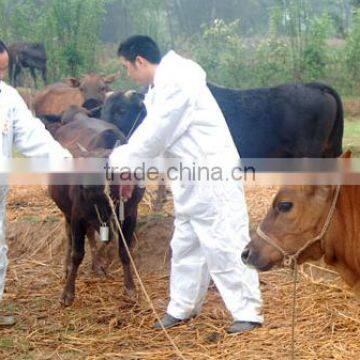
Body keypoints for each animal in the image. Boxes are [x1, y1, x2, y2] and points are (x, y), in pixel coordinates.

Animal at [47, 108, 145, 306]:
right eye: (84, 164)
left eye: (104, 166)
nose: (84, 185)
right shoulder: (77, 214)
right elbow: (77, 253)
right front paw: (67, 293)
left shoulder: (130, 214)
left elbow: (124, 250)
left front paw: (130, 287)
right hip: (67, 210)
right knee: (69, 234)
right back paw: (66, 267)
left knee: (91, 233)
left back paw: (97, 265)